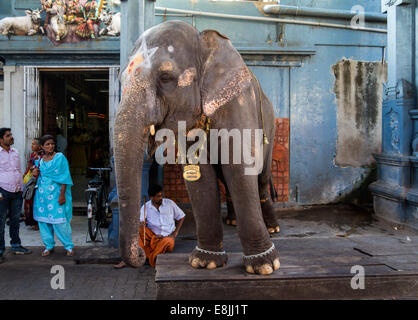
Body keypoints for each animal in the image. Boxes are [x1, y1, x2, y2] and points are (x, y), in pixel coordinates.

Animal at [115, 20, 280, 276]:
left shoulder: (237, 102)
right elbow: (199, 177)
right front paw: (204, 263)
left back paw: (273, 229)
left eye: (165, 77)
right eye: (122, 81)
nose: (141, 254)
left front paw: (264, 266)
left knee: (261, 177)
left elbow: (240, 168)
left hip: (269, 125)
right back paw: (232, 222)